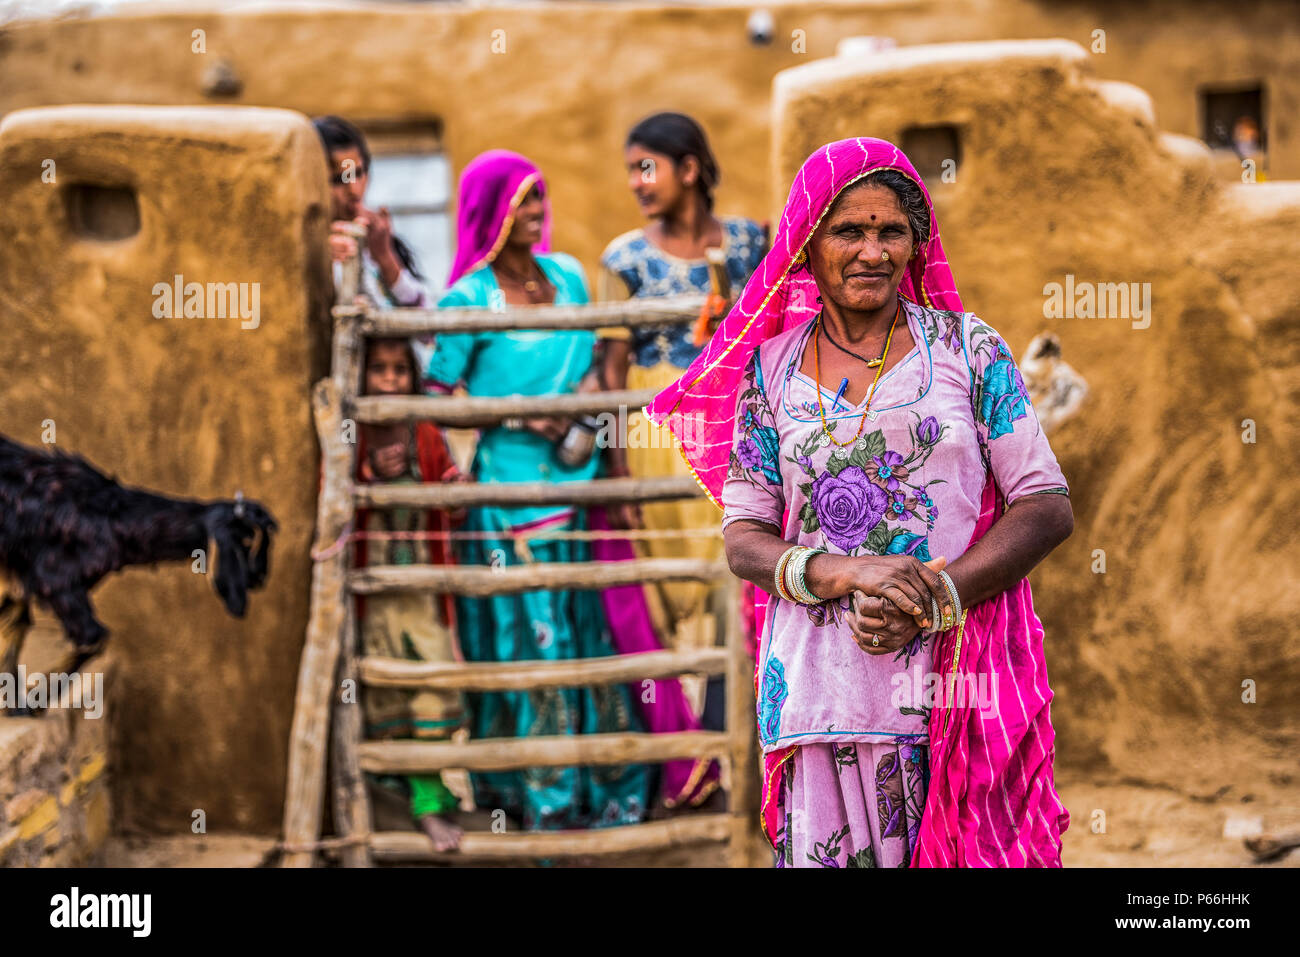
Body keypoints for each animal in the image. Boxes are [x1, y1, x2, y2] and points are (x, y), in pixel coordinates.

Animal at [1, 434, 276, 702]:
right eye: (245, 539)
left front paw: (17, 702)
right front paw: (34, 696)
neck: (107, 516)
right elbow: (93, 638)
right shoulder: (56, 582)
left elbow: (11, 629)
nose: (260, 577)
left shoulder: (19, 583)